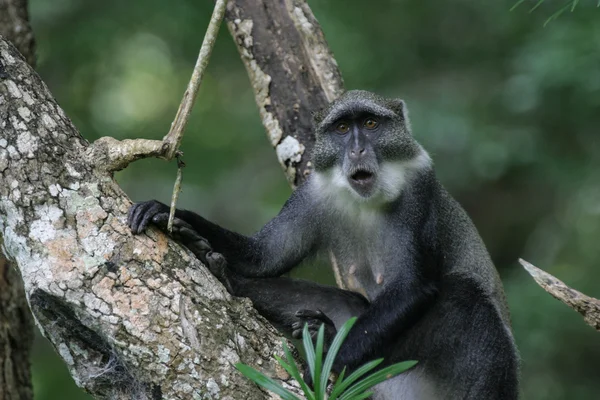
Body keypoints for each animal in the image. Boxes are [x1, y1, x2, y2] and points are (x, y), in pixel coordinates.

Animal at [129, 91, 516, 400]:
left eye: (371, 124)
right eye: (342, 129)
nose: (357, 149)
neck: (367, 200)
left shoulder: (419, 193)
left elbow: (413, 287)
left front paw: (329, 355)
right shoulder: (310, 196)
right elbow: (265, 256)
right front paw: (171, 215)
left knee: (467, 300)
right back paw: (226, 276)